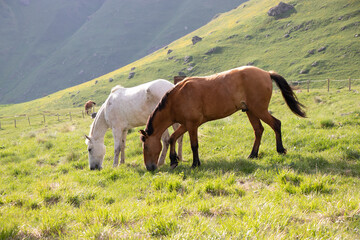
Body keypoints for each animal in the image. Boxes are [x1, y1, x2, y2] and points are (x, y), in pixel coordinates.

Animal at [139, 65, 306, 171]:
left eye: (145, 146)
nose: (149, 168)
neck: (177, 97)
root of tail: (266, 73)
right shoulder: (186, 124)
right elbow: (172, 138)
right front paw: (174, 160)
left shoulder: (192, 125)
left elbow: (194, 145)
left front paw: (195, 164)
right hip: (251, 111)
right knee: (259, 130)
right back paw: (253, 155)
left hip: (259, 110)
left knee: (276, 124)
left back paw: (280, 150)